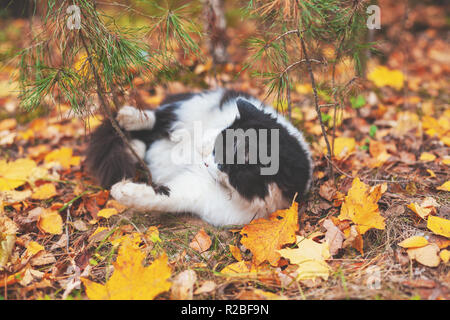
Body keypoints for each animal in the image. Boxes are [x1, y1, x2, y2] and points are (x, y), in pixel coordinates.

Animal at [85, 89, 312, 226]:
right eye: (217, 149)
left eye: (225, 166)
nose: (205, 162)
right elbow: (201, 136)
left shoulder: (195, 193)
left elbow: (159, 197)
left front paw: (122, 190)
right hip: (193, 104)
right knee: (158, 117)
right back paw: (129, 117)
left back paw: (134, 148)